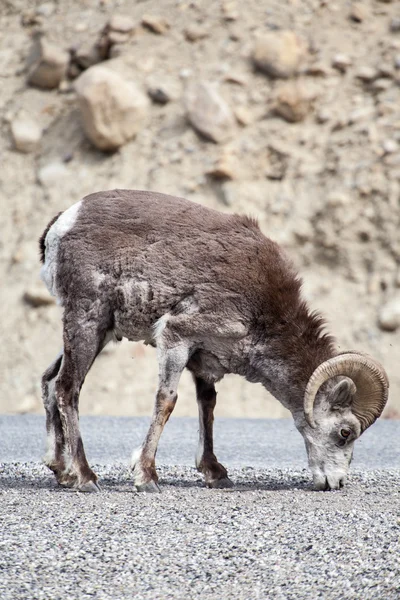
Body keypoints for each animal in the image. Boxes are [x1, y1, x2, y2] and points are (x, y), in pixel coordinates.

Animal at [39, 191, 390, 492]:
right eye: (345, 433)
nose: (335, 483)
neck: (262, 312)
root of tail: (62, 222)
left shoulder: (203, 358)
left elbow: (207, 406)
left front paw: (215, 473)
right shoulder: (176, 336)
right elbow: (166, 401)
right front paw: (147, 477)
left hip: (99, 333)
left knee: (50, 380)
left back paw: (62, 472)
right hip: (87, 321)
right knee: (67, 388)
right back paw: (85, 478)